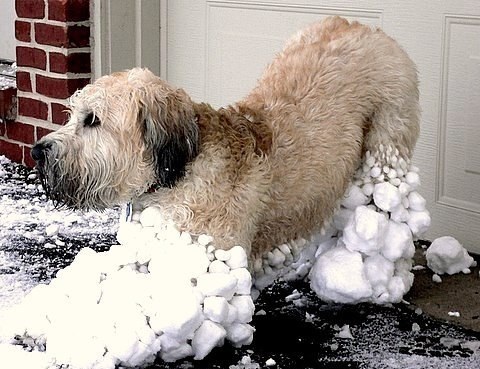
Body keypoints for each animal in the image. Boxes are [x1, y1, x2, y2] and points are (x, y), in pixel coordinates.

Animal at [31, 16, 420, 262]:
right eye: (71, 114)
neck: (178, 172)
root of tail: (366, 27)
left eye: (93, 120)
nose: (37, 151)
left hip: (389, 134)